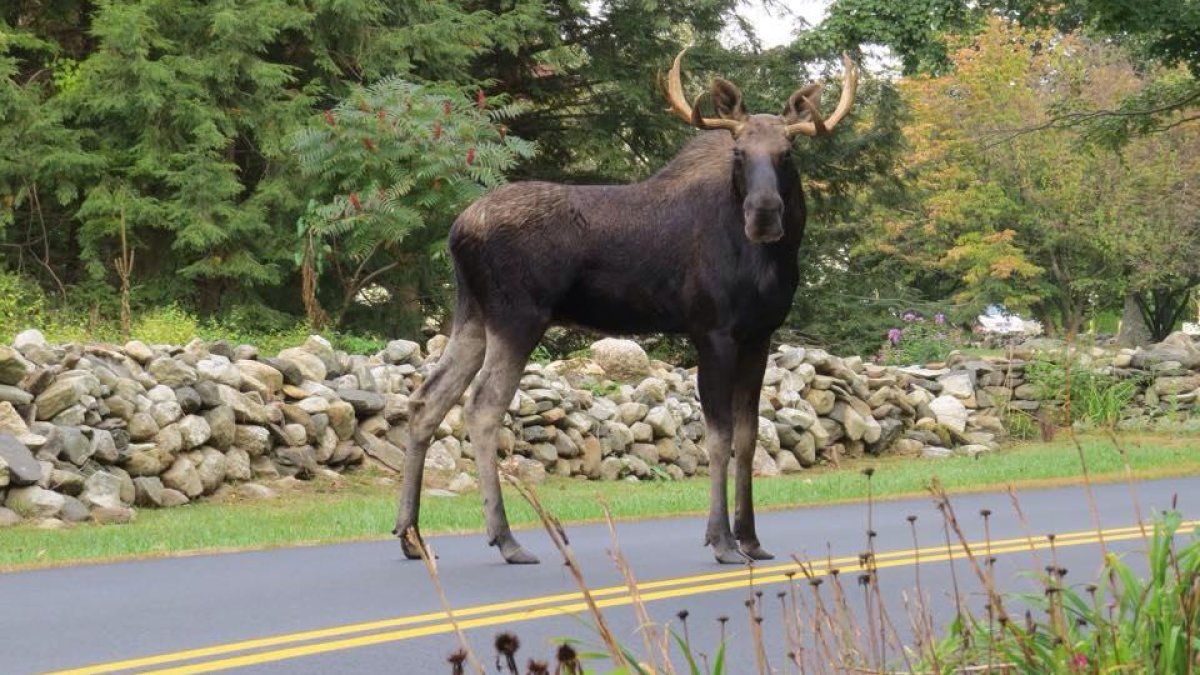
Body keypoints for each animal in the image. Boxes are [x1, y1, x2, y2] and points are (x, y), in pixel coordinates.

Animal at [394, 48, 858, 565]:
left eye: (788, 152)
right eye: (738, 152)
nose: (763, 213)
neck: (770, 261)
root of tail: (458, 231)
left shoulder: (760, 334)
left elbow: (748, 433)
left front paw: (752, 539)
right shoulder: (712, 331)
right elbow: (717, 438)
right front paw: (721, 540)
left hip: (473, 315)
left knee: (427, 400)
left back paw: (412, 536)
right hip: (517, 317)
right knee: (481, 408)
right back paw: (506, 539)